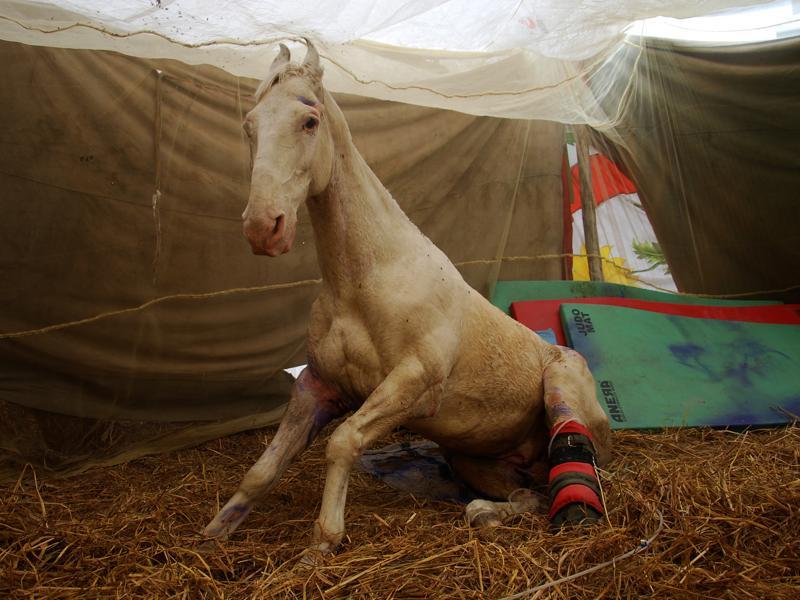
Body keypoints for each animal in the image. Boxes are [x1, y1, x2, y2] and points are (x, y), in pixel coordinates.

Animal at [203, 40, 612, 560]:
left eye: (309, 121)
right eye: (250, 125)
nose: (263, 227)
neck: (368, 280)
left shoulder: (412, 385)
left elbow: (344, 442)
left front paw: (323, 543)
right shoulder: (318, 386)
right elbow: (263, 470)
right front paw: (212, 534)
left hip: (561, 393)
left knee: (566, 473)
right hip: (471, 459)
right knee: (529, 495)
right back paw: (483, 511)